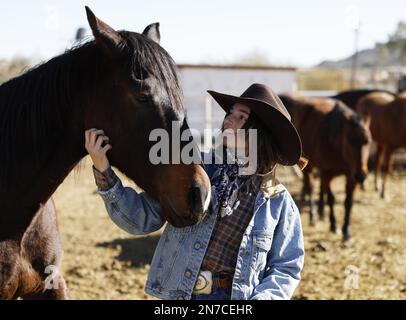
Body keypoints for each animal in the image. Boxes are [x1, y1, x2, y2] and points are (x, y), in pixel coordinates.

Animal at [280, 95, 372, 240]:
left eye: (368, 141)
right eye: (350, 140)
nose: (361, 175)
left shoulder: (351, 175)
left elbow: (348, 201)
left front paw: (346, 231)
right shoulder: (328, 172)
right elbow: (331, 198)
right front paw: (334, 225)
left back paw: (321, 212)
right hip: (310, 168)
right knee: (311, 187)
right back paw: (313, 216)